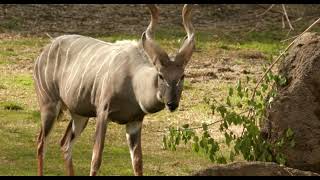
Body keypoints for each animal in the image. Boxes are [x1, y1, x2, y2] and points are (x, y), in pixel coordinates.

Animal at [34, 4, 195, 176]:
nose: (172, 104)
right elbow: (96, 159)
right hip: (49, 105)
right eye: (161, 75)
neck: (133, 80)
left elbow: (137, 162)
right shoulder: (103, 112)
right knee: (41, 143)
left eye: (182, 76)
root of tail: (46, 48)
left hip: (79, 114)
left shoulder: (135, 121)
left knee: (65, 144)